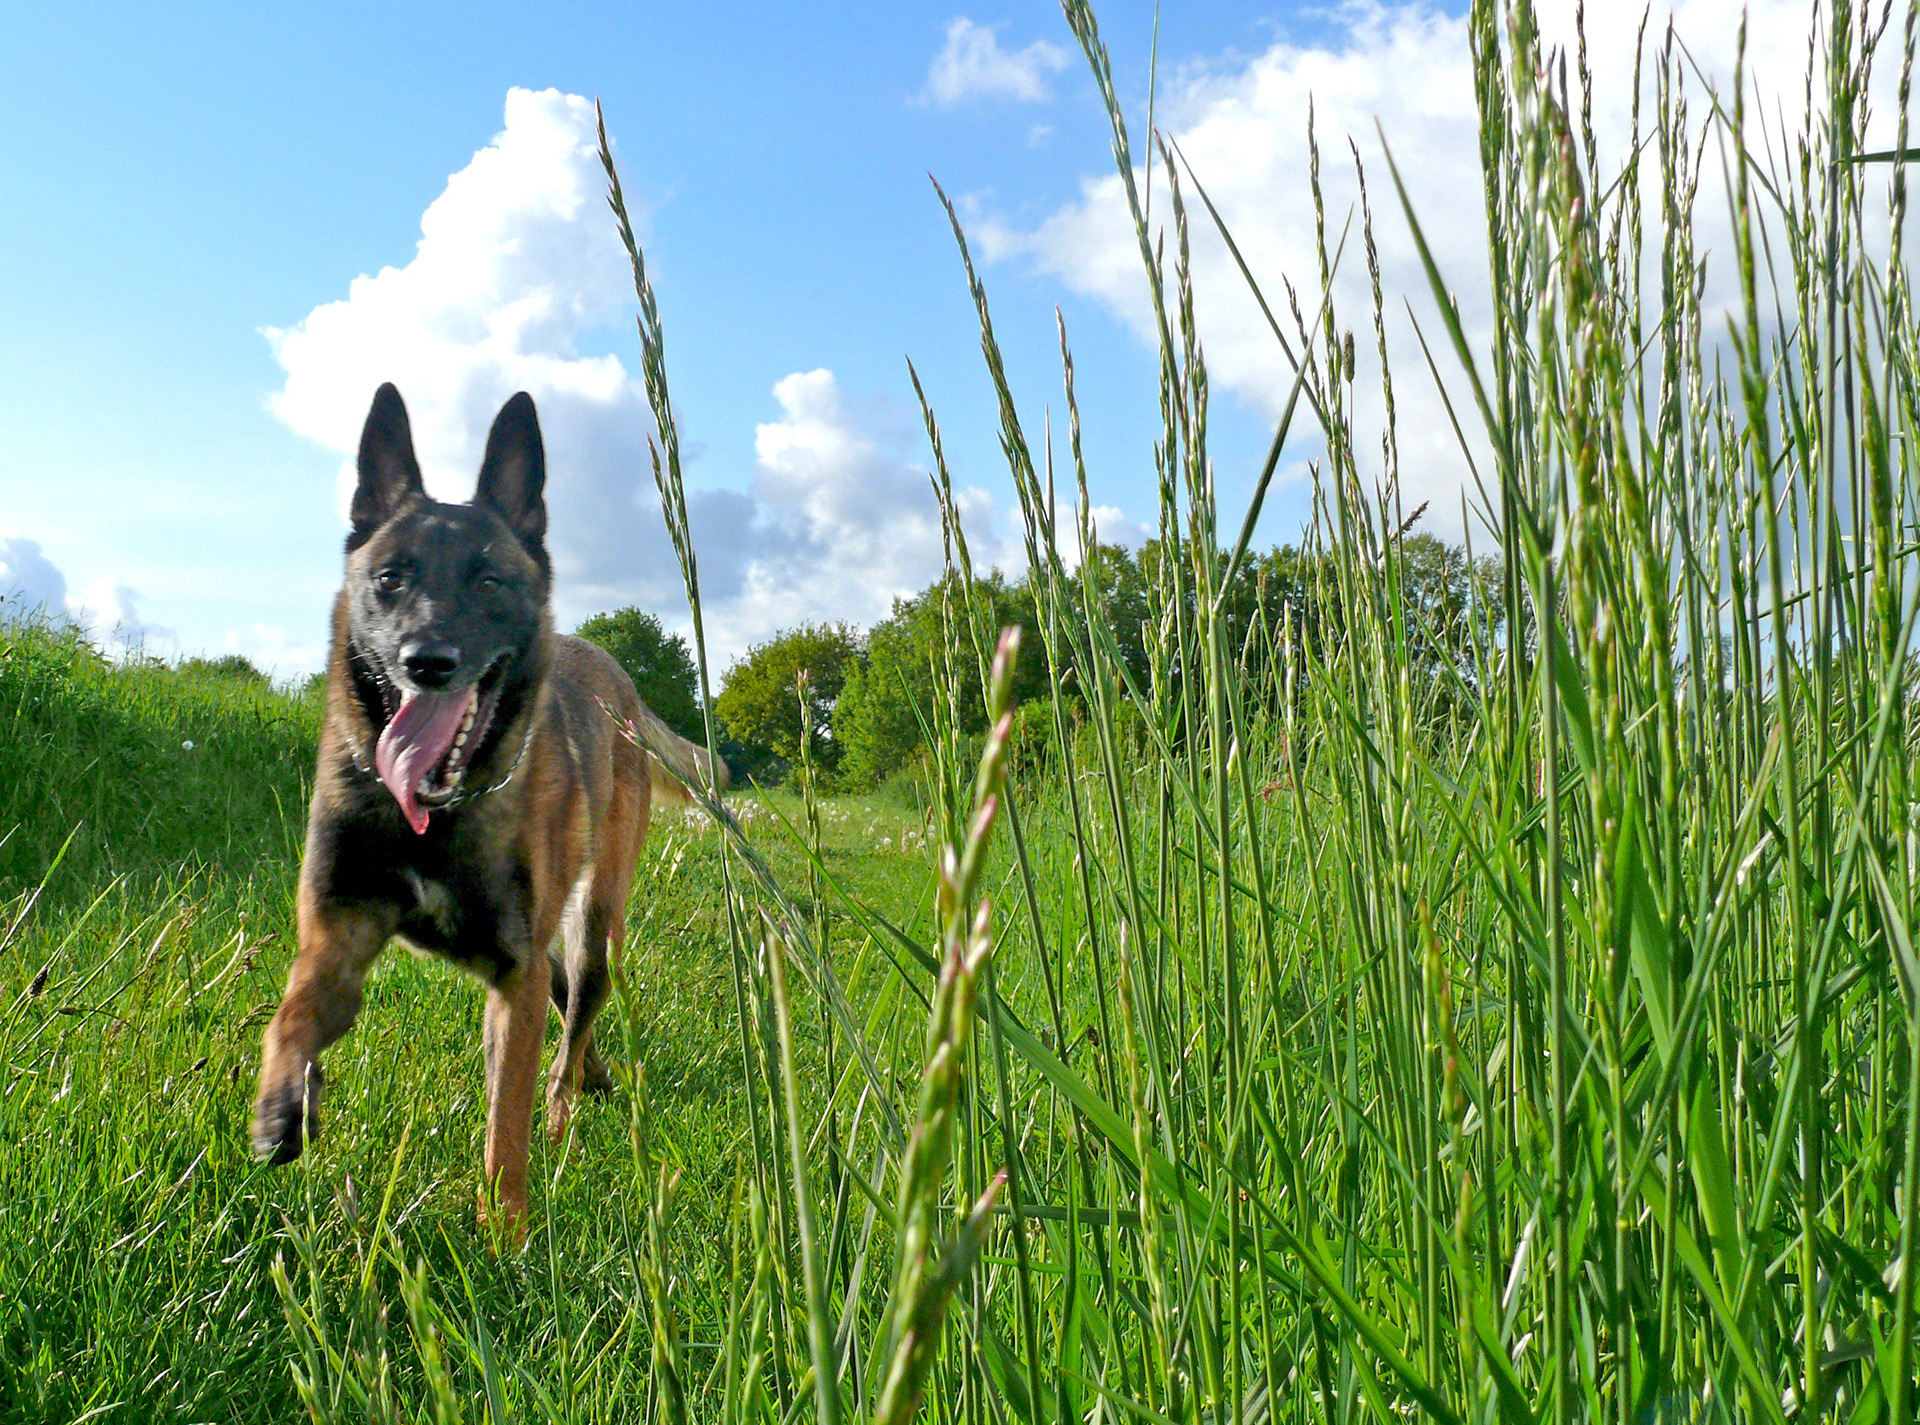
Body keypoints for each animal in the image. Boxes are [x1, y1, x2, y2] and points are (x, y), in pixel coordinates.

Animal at [247, 386, 714, 1236]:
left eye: (490, 582)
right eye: (390, 578)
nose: (427, 661)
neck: (432, 816)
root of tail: (620, 678)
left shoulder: (510, 977)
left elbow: (505, 1129)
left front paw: (506, 1239)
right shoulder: (336, 939)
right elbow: (288, 1017)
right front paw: (279, 1108)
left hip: (596, 924)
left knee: (573, 1019)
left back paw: (567, 1115)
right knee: (567, 1009)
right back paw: (593, 1079)